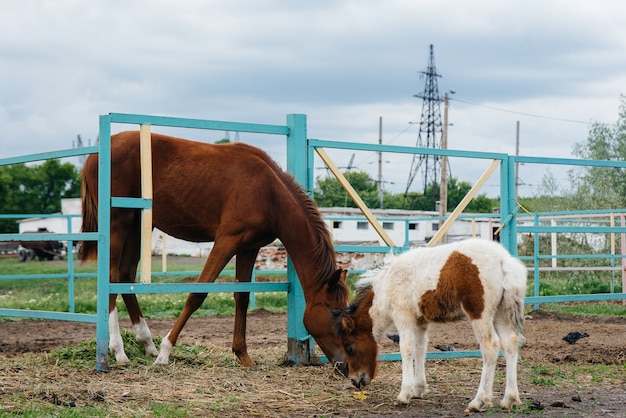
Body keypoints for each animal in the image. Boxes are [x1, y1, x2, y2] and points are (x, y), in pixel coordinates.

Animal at [80, 131, 348, 370]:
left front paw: (243, 355)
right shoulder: (226, 241)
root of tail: (94, 156)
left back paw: (146, 343)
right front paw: (166, 352)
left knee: (125, 275)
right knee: (112, 276)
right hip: (119, 223)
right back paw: (119, 351)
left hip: (138, 225)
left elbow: (242, 297)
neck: (270, 193)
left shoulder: (249, 247)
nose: (345, 365)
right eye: (335, 313)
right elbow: (197, 295)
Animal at [332, 237, 528, 414]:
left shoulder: (403, 317)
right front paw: (418, 390)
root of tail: (503, 259)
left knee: (490, 346)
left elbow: (406, 349)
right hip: (500, 314)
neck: (386, 287)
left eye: (349, 347)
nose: (355, 380)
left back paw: (478, 401)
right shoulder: (420, 321)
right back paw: (509, 399)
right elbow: (420, 349)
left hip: (480, 314)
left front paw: (404, 394)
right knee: (510, 344)